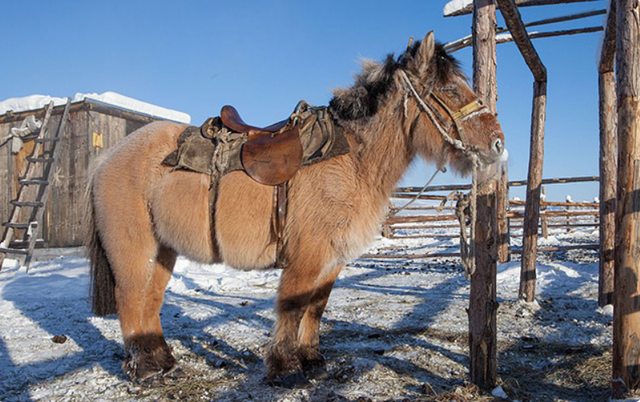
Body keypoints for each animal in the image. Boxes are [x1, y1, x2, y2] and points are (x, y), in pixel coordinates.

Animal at [85, 33, 504, 388]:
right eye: (449, 89)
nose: (498, 144)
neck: (351, 159)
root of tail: (107, 157)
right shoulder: (306, 256)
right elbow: (292, 306)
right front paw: (286, 367)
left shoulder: (332, 260)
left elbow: (315, 307)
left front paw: (312, 360)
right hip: (133, 249)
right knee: (130, 300)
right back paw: (144, 370)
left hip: (163, 251)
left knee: (149, 303)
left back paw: (164, 361)